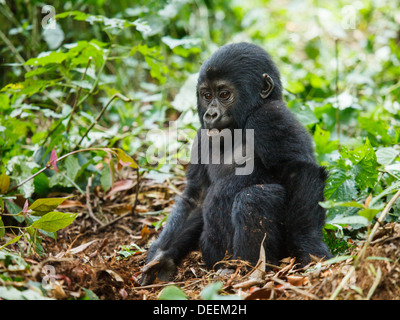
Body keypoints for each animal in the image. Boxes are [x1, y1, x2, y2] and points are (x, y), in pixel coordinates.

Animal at [141, 42, 332, 284]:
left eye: (224, 95)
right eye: (206, 95)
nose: (211, 115)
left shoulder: (269, 117)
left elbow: (299, 173)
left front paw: (308, 244)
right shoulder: (201, 135)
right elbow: (197, 195)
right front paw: (161, 256)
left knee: (254, 197)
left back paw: (245, 269)